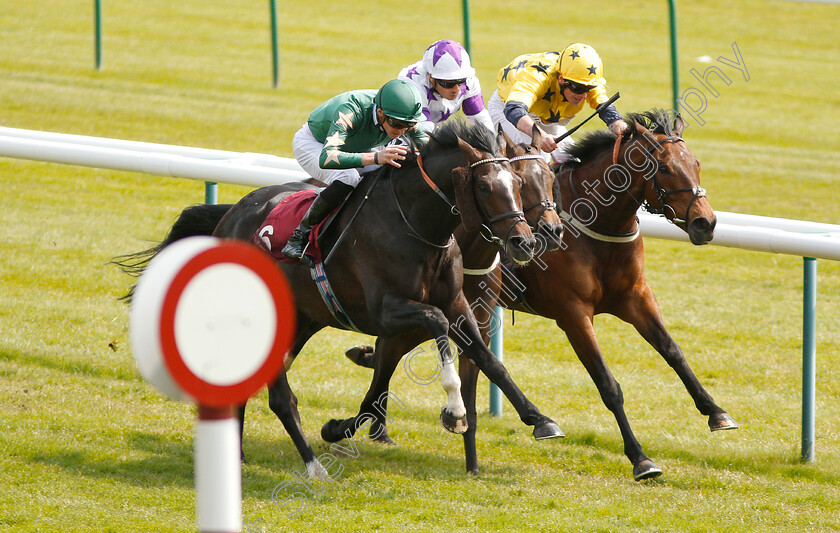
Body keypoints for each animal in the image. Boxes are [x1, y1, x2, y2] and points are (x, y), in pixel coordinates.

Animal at [116, 119, 564, 478]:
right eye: (485, 186)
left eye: (517, 183)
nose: (525, 241)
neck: (418, 224)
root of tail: (229, 216)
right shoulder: (386, 312)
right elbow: (435, 327)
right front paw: (454, 413)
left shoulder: (457, 304)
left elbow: (488, 360)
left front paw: (540, 420)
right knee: (277, 394)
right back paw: (313, 467)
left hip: (302, 320)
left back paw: (241, 457)